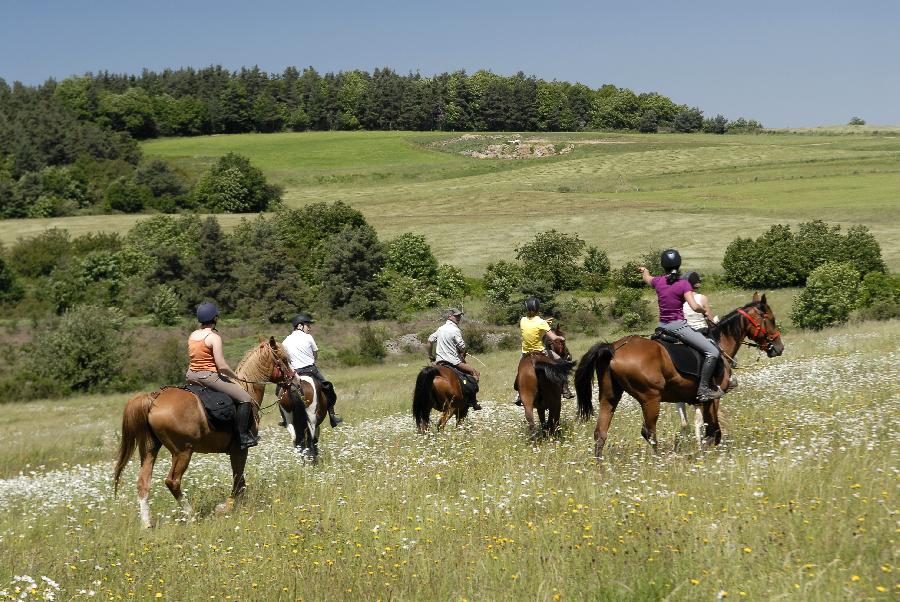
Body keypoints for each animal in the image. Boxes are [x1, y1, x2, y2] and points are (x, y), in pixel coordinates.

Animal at [112, 338, 296, 524]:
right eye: (284, 359)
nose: (294, 382)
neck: (247, 389)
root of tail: (154, 398)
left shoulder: (236, 451)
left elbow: (240, 482)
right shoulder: (239, 450)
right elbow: (238, 482)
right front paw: (224, 508)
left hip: (151, 450)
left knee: (143, 482)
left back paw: (147, 524)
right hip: (183, 452)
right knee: (172, 481)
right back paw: (191, 514)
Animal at [576, 292, 780, 458]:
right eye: (771, 319)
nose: (779, 347)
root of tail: (613, 347)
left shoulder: (694, 401)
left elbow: (700, 427)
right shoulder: (712, 399)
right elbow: (713, 432)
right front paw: (703, 451)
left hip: (609, 397)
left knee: (600, 433)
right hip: (650, 399)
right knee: (648, 432)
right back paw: (659, 461)